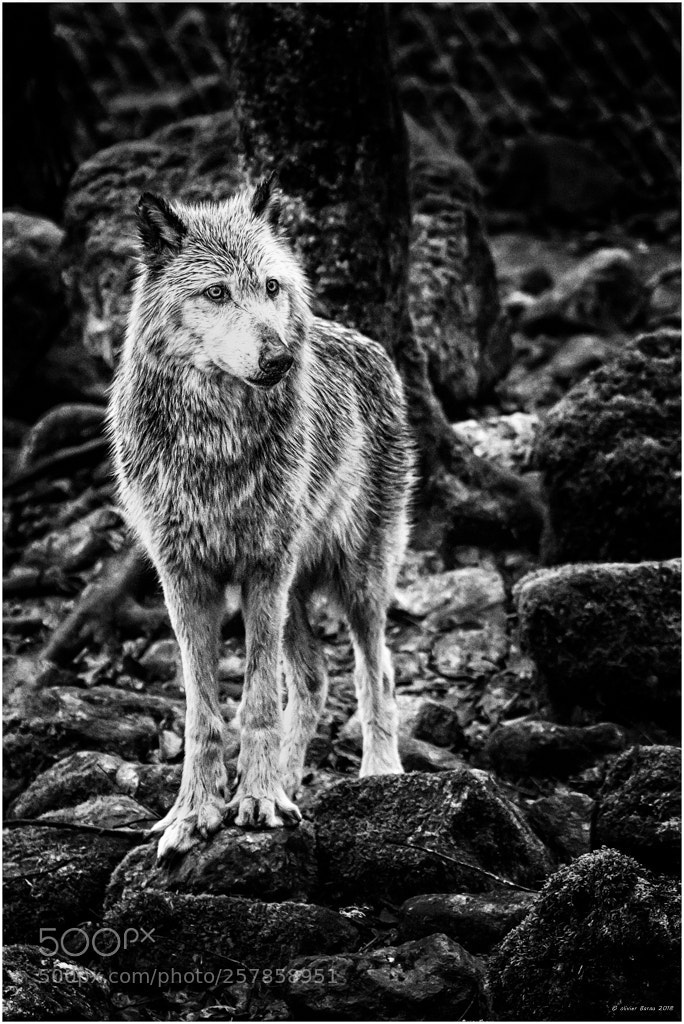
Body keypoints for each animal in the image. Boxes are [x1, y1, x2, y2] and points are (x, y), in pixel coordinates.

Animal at [108, 175, 414, 859]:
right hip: (295, 584)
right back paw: (292, 780)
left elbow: (256, 702)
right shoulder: (184, 578)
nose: (278, 359)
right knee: (315, 679)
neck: (215, 441)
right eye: (217, 292)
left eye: (271, 287)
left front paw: (257, 800)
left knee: (375, 671)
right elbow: (204, 710)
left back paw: (378, 774)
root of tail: (370, 344)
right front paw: (194, 812)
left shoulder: (263, 570)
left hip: (356, 575)